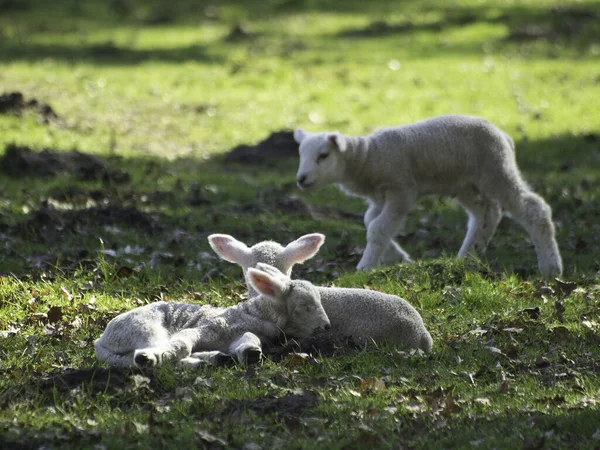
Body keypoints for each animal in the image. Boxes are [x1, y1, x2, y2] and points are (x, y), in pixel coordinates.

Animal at [94, 266, 330, 368]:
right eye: (305, 306)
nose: (327, 327)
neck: (254, 315)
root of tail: (101, 339)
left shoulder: (242, 334)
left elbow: (247, 340)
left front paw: (251, 353)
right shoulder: (206, 328)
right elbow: (182, 344)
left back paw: (213, 358)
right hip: (144, 328)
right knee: (144, 355)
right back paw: (153, 358)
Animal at [294, 114, 564, 280]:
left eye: (323, 155)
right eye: (301, 154)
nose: (301, 179)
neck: (368, 157)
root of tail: (505, 137)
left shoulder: (402, 190)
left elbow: (377, 227)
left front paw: (365, 266)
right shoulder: (380, 197)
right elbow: (371, 222)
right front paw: (399, 258)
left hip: (497, 171)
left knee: (534, 209)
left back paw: (551, 267)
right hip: (465, 183)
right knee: (486, 213)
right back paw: (466, 257)